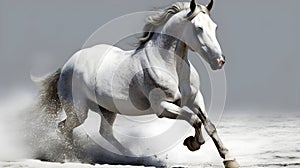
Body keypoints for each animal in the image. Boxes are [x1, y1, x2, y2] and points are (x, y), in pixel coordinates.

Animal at [37, 0, 239, 167]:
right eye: (199, 28)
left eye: (214, 27)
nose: (219, 61)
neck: (169, 66)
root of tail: (67, 65)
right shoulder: (162, 107)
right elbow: (194, 120)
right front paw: (193, 143)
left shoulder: (195, 100)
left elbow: (209, 125)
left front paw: (230, 160)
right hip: (79, 110)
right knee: (64, 127)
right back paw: (70, 158)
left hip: (107, 110)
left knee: (105, 133)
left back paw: (133, 158)